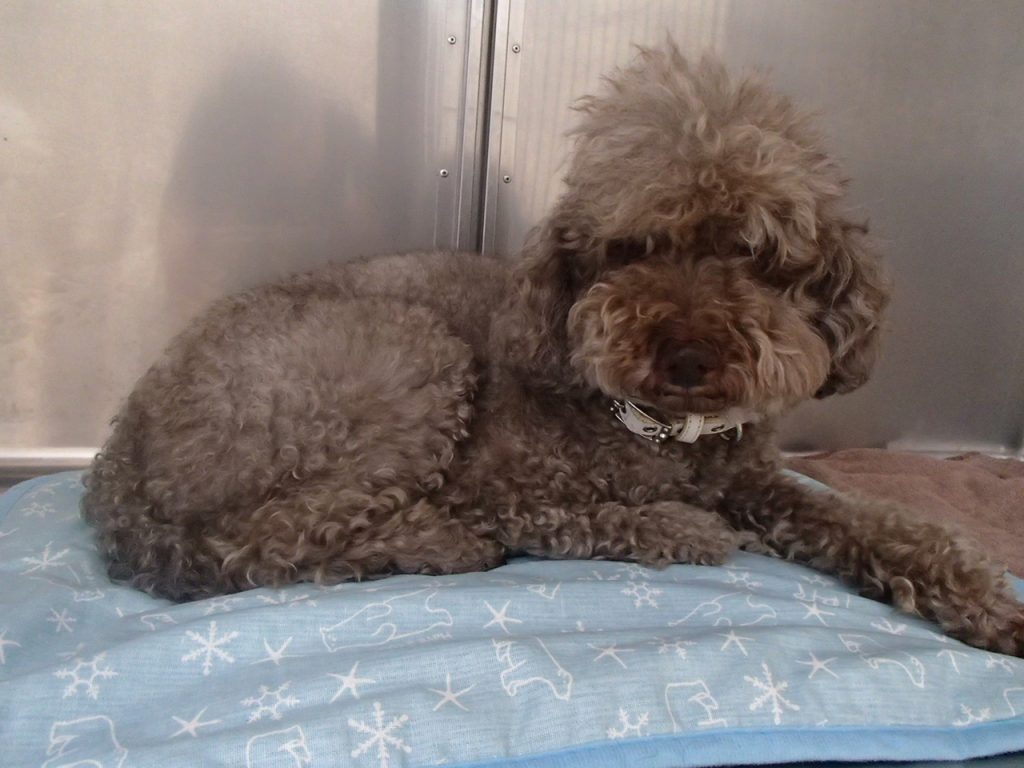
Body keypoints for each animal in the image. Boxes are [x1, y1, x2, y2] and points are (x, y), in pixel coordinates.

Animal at [82, 43, 1024, 656]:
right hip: (407, 360)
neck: (655, 432)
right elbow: (587, 515)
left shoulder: (756, 479)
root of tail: (121, 451)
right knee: (256, 541)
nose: (688, 356)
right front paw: (681, 527)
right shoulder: (503, 487)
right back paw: (438, 542)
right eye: (634, 247)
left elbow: (886, 526)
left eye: (756, 254)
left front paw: (988, 605)